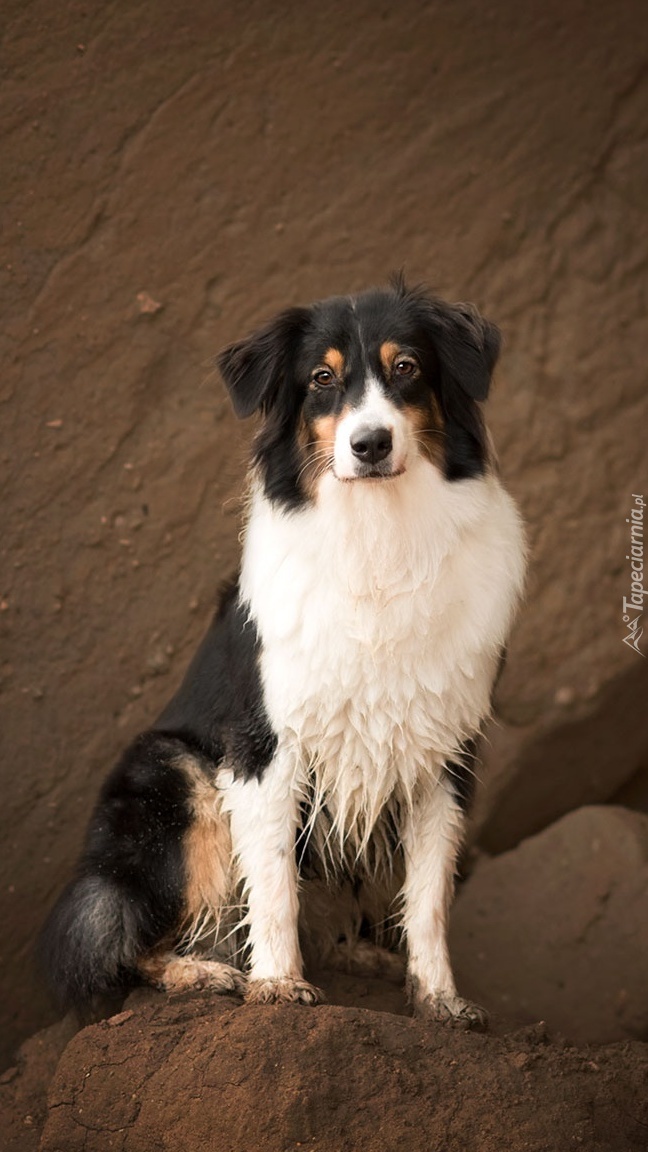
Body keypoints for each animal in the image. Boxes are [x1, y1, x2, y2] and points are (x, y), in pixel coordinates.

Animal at [40, 276, 525, 1027]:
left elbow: (429, 895)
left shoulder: (444, 750)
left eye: (407, 367)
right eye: (321, 379)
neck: (380, 534)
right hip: (175, 774)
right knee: (119, 941)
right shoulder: (265, 744)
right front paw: (275, 984)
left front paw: (440, 999)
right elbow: (270, 880)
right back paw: (205, 972)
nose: (370, 444)